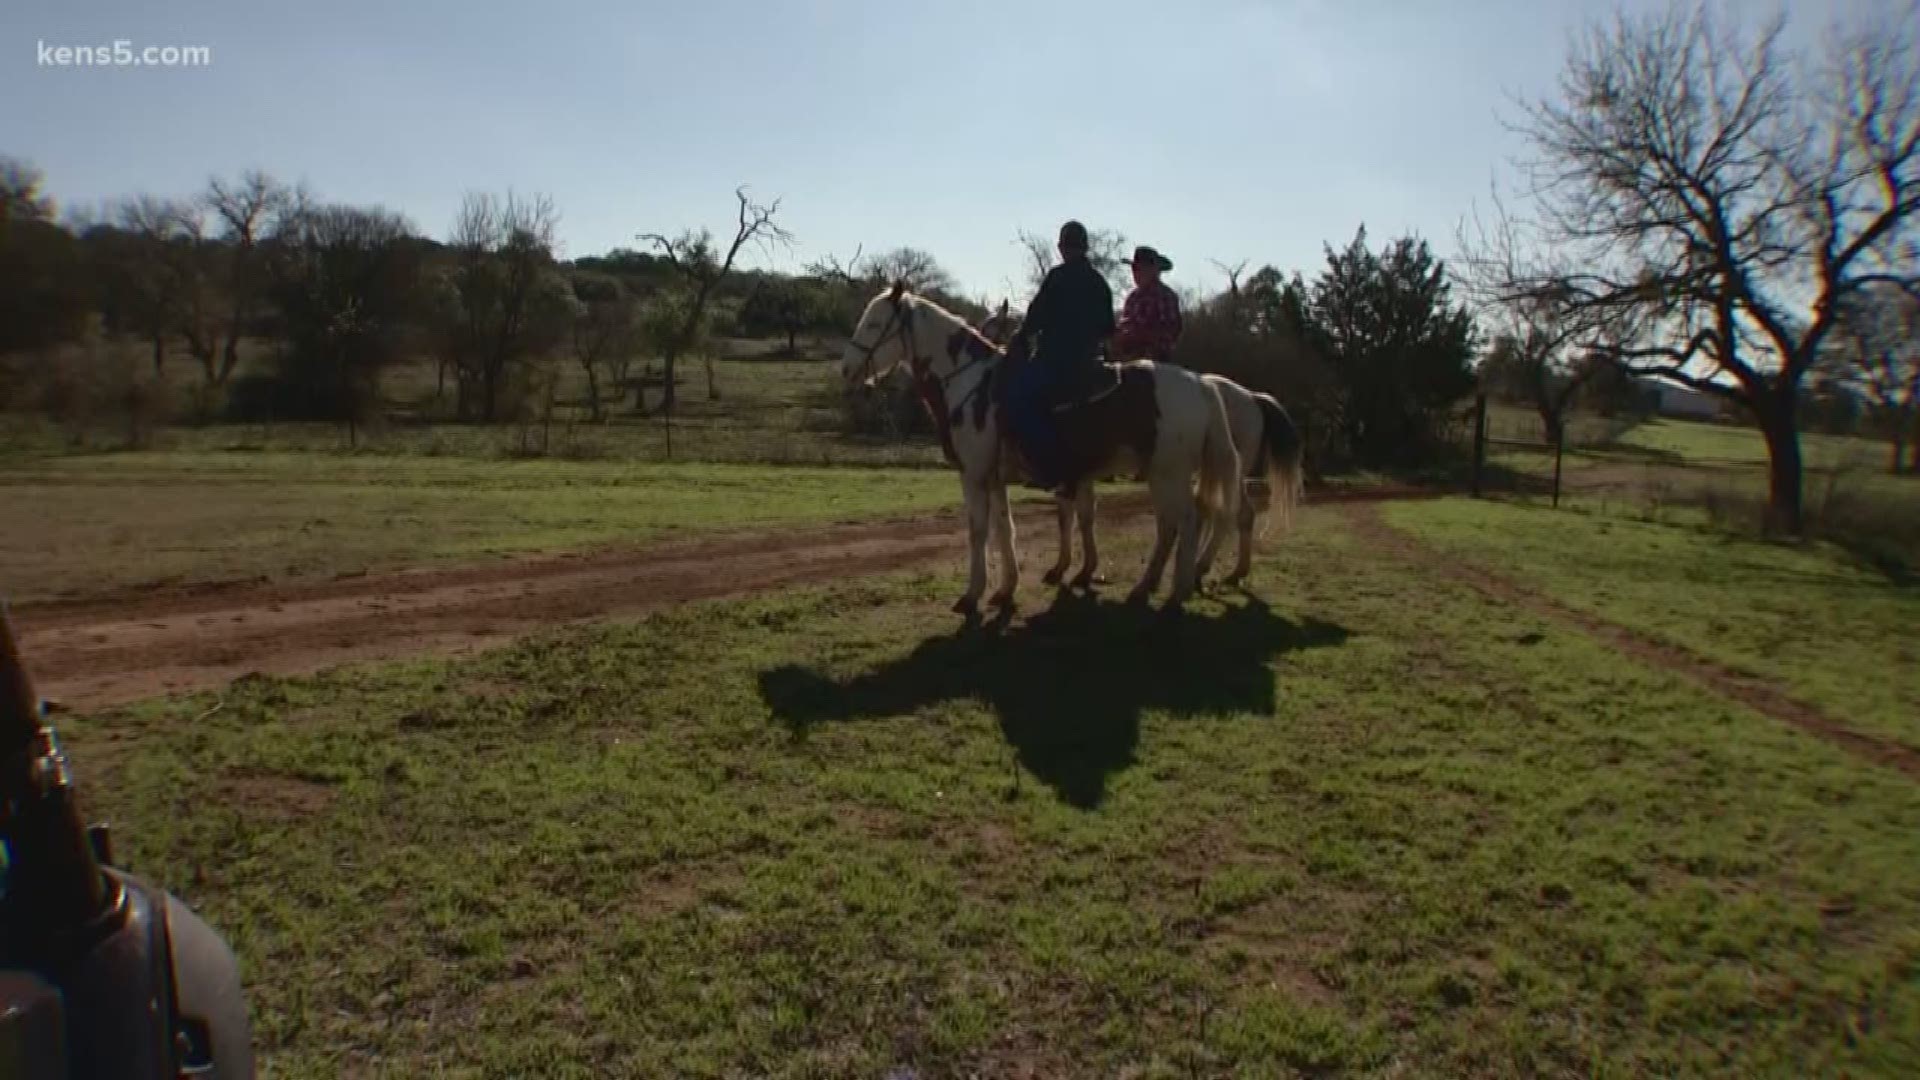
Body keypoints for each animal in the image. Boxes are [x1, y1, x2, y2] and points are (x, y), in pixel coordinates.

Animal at [840, 282, 1244, 611]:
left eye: (874, 324)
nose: (846, 369)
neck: (973, 385)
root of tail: (1200, 384)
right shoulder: (995, 478)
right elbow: (1005, 529)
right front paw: (1006, 589)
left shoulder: (974, 475)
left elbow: (978, 530)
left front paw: (972, 595)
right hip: (1161, 475)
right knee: (1169, 525)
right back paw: (1146, 587)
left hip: (1169, 473)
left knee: (1186, 522)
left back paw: (1177, 592)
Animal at [983, 307, 1313, 591]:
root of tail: (1250, 396)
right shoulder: (1081, 474)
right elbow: (1082, 517)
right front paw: (1081, 569)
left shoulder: (1067, 473)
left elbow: (1067, 517)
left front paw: (1062, 568)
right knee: (1233, 514)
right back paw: (1224, 570)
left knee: (1217, 515)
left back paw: (1194, 570)